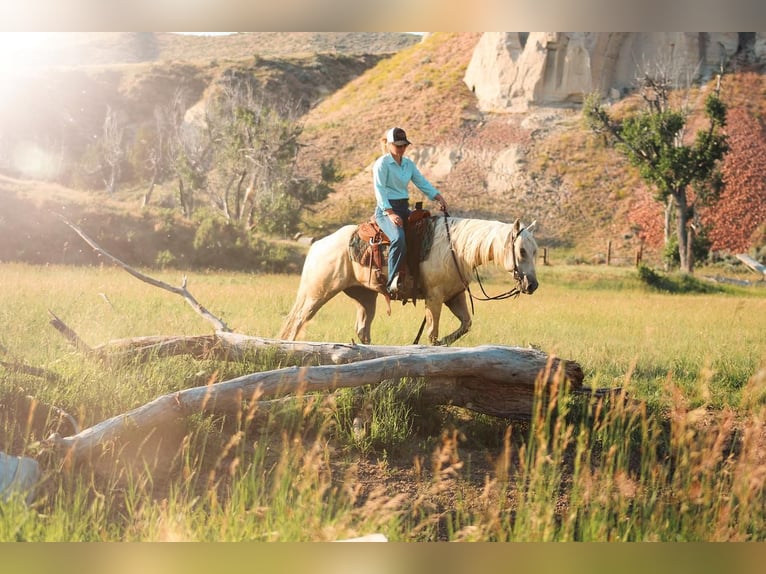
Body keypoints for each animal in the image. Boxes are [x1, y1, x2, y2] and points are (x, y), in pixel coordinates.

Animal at [278, 216, 540, 346]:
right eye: (521, 250)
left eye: (535, 251)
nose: (532, 285)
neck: (454, 249)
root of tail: (317, 245)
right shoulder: (434, 298)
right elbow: (432, 333)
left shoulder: (454, 297)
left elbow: (466, 324)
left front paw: (444, 343)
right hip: (317, 293)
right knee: (296, 322)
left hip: (364, 297)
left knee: (362, 330)